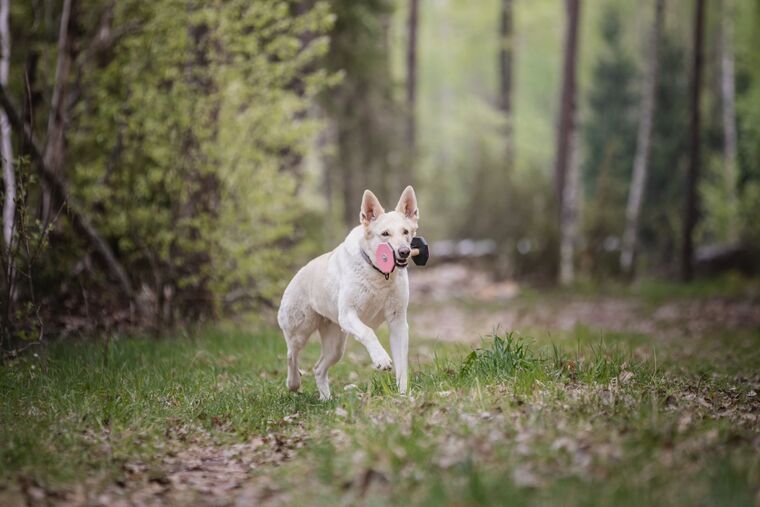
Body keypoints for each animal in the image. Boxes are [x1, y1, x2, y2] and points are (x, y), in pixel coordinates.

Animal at [278, 187, 422, 400]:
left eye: (405, 232)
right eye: (385, 234)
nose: (404, 252)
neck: (379, 274)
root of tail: (298, 273)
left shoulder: (398, 322)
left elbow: (402, 364)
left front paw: (403, 395)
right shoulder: (348, 314)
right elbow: (368, 332)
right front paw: (381, 359)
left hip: (336, 346)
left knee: (318, 368)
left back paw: (325, 398)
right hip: (300, 330)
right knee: (291, 355)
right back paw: (293, 383)